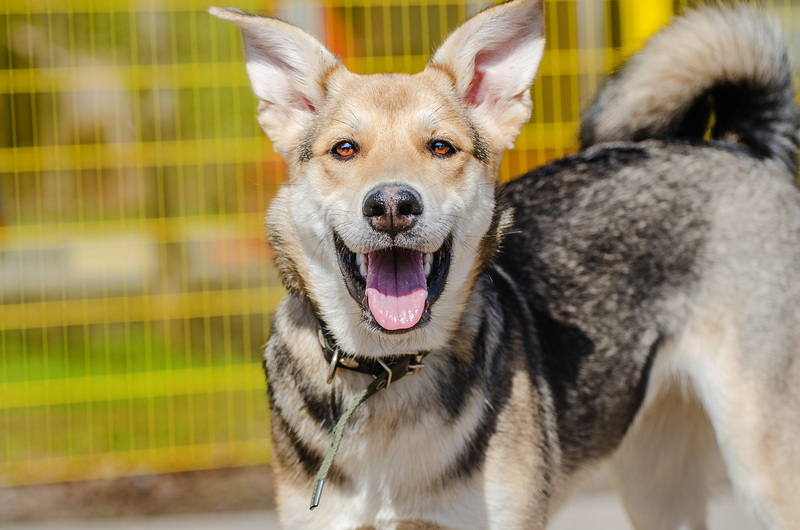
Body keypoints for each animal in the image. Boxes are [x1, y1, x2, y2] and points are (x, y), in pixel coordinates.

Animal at [212, 2, 800, 524]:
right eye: (344, 149)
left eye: (441, 147)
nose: (393, 206)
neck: (388, 370)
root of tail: (741, 149)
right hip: (654, 477)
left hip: (762, 462)